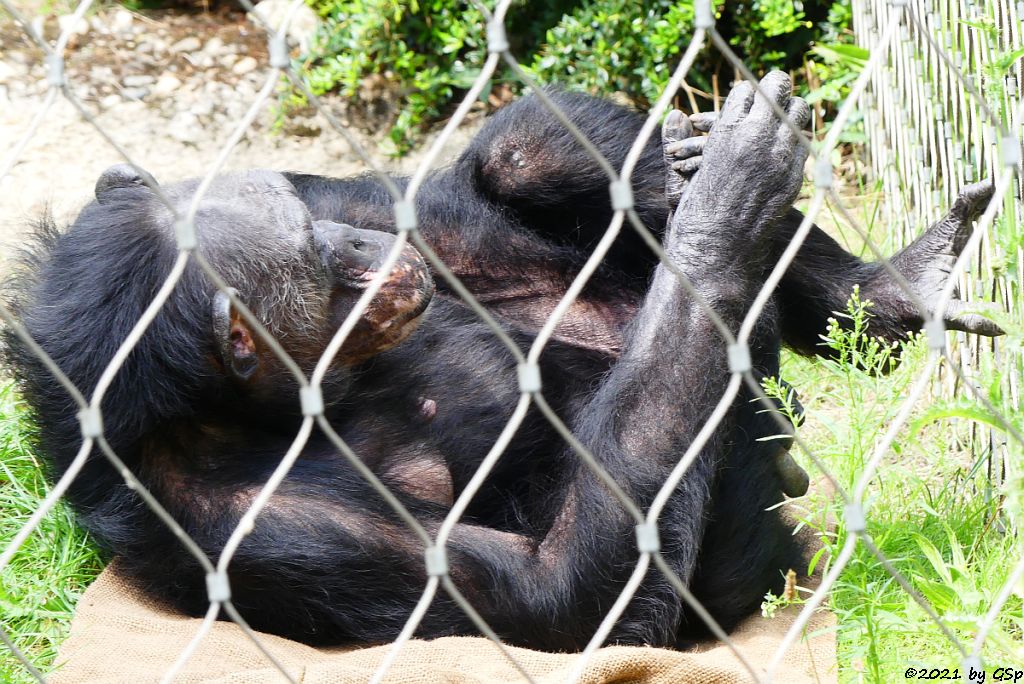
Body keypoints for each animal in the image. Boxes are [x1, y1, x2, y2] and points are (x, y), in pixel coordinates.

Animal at [6, 72, 999, 651]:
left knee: (513, 158)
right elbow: (564, 593)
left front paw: (704, 171)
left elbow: (454, 184)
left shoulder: (343, 195)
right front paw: (727, 206)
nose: (351, 246)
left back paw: (886, 290)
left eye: (313, 230)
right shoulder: (243, 527)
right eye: (314, 264)